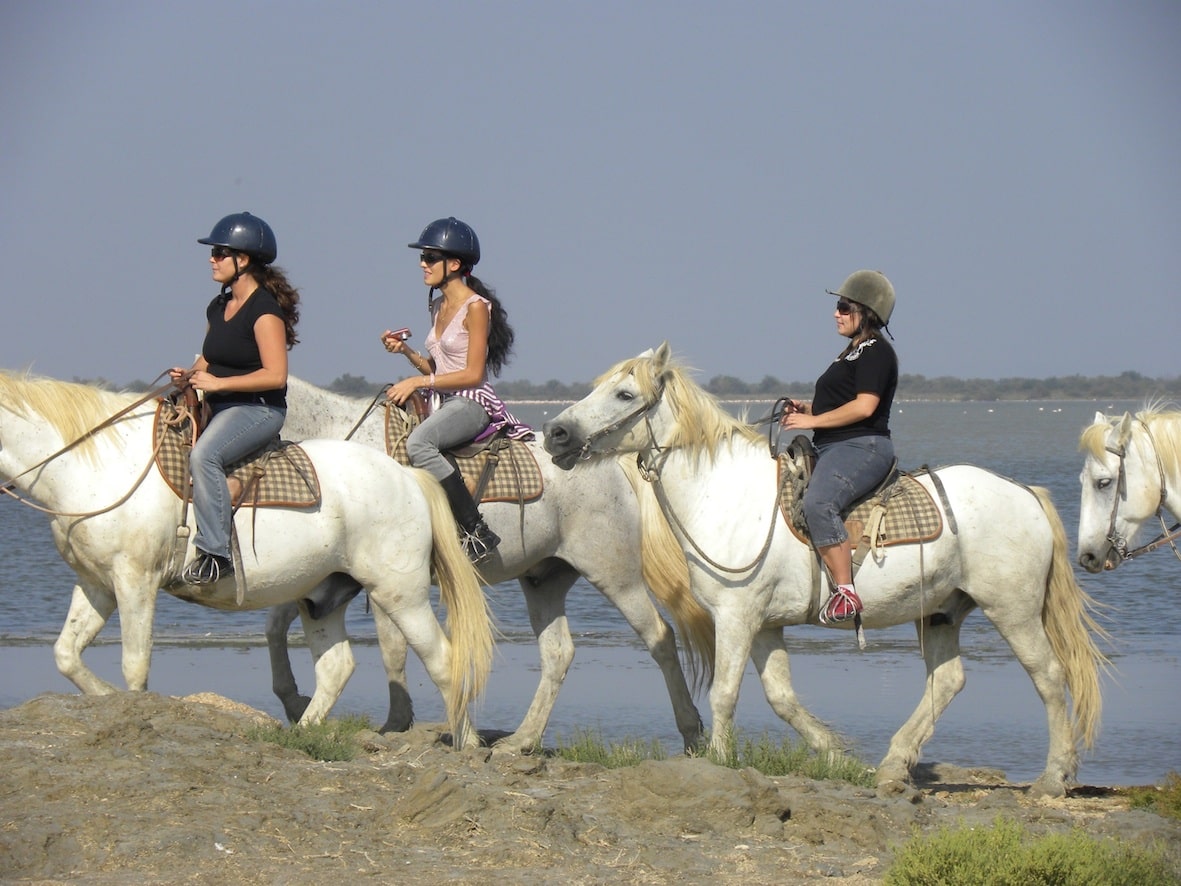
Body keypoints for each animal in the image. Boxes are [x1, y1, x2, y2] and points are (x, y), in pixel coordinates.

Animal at [0, 373, 491, 751]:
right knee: (336, 667)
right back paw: (301, 733)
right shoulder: (97, 583)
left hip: (400, 593)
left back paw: (465, 744)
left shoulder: (134, 580)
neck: (96, 465)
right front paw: (106, 699)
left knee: (444, 659)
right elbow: (67, 654)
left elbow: (134, 665)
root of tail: (408, 475)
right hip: (324, 597)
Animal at [269, 375, 708, 756]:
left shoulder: (378, 581)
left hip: (615, 576)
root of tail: (611, 463)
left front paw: (395, 722)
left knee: (660, 637)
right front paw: (293, 701)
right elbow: (276, 626)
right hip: (544, 580)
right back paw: (522, 740)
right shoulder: (318, 577)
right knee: (558, 654)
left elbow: (393, 650)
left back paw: (692, 733)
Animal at [540, 347, 1110, 798]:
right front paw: (836, 753)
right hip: (942, 612)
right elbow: (781, 698)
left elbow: (724, 692)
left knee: (1048, 676)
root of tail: (1025, 494)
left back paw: (1052, 778)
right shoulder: (765, 624)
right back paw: (891, 766)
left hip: (1012, 610)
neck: (723, 494)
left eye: (623, 393)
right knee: (948, 681)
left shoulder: (737, 615)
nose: (555, 433)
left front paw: (718, 762)